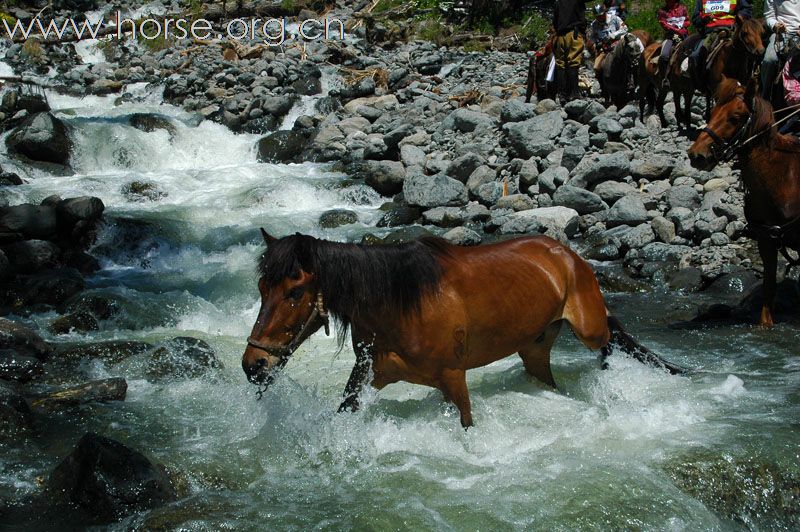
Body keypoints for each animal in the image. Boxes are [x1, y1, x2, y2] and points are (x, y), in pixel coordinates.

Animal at [242, 232, 680, 428]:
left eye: (295, 291)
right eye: (261, 287)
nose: (253, 365)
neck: (401, 304)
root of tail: (567, 254)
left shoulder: (454, 378)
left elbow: (467, 423)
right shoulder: (370, 374)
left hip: (588, 328)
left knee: (611, 338)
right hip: (535, 347)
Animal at [684, 78, 800, 326]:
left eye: (735, 117)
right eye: (713, 112)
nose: (697, 154)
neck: (784, 178)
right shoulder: (767, 241)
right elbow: (768, 292)